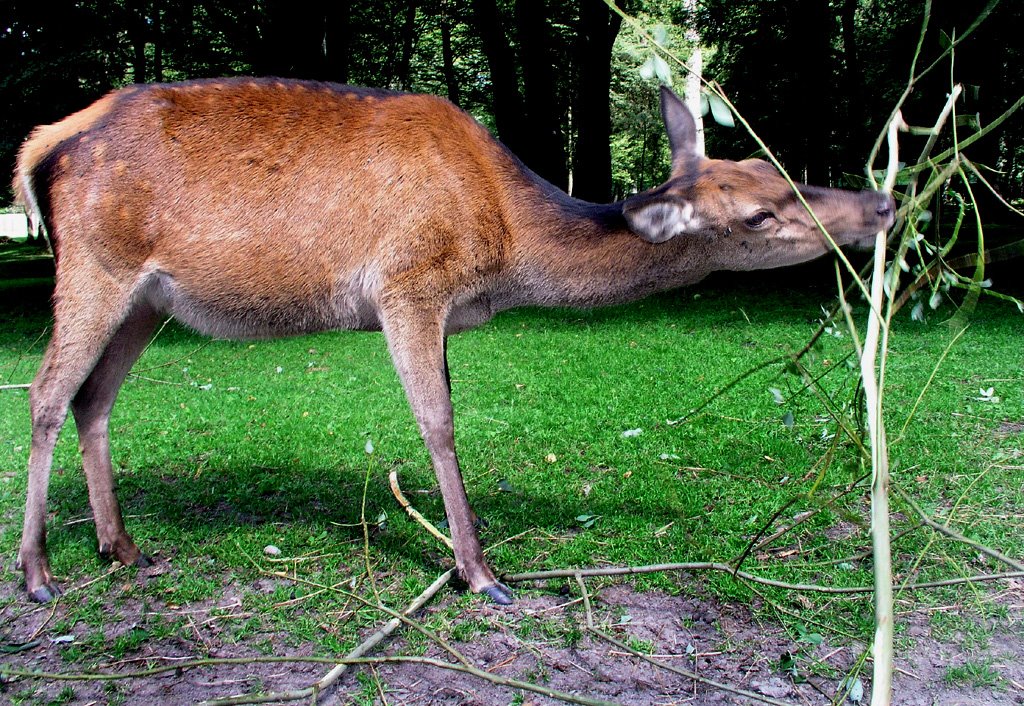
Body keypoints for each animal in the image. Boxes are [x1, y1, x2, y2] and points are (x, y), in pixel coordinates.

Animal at [12, 79, 892, 602]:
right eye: (759, 214)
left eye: (773, 167)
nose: (881, 204)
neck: (504, 248)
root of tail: (41, 143)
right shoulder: (408, 283)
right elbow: (438, 423)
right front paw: (481, 572)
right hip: (93, 262)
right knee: (48, 392)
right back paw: (37, 572)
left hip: (147, 298)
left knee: (95, 398)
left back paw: (121, 547)